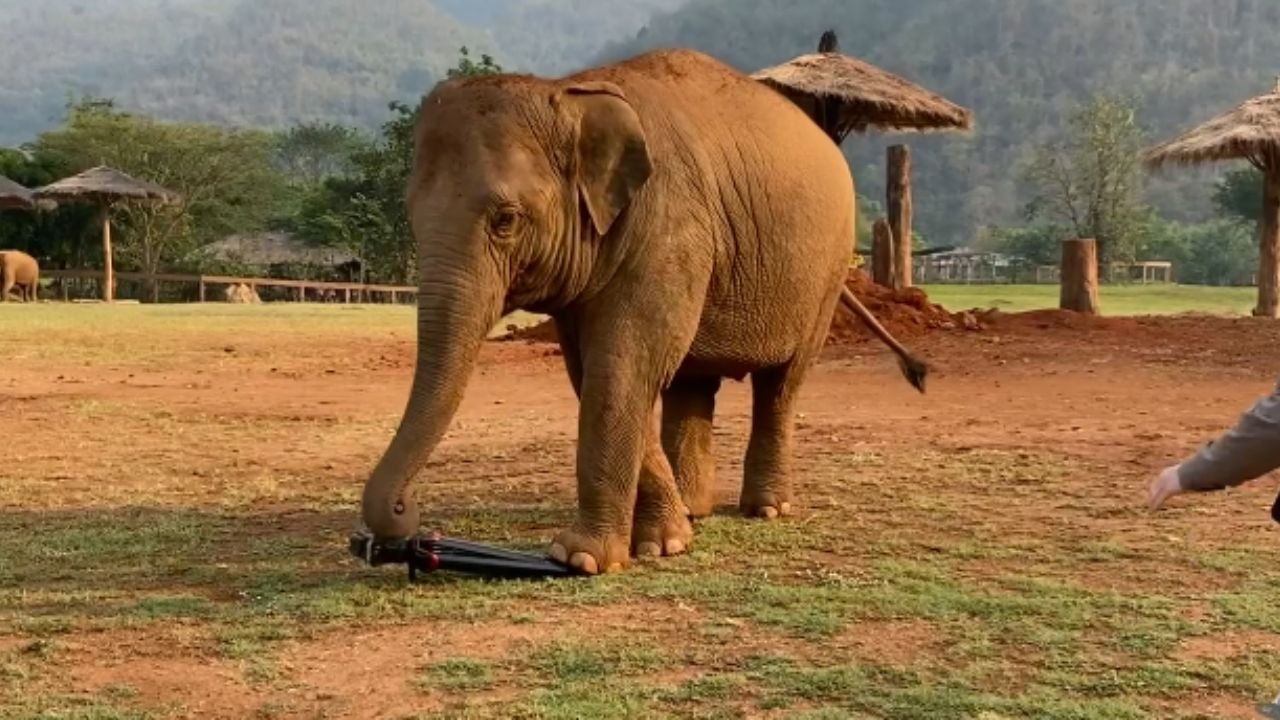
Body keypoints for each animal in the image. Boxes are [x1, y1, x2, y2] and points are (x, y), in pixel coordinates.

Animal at [360, 48, 928, 575]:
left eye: (506, 219)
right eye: (411, 215)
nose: (405, 516)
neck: (570, 91)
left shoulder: (670, 227)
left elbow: (621, 367)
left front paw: (581, 558)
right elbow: (598, 372)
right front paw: (667, 543)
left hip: (826, 274)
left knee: (781, 384)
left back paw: (767, 509)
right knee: (693, 381)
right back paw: (695, 509)